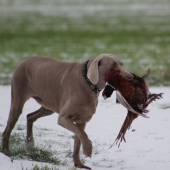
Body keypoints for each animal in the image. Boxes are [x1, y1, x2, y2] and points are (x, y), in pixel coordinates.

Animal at [1, 53, 133, 169]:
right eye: (113, 65)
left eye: (121, 64)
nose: (130, 77)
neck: (88, 82)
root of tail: (25, 60)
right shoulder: (63, 118)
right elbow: (82, 134)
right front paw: (88, 150)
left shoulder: (81, 121)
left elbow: (78, 140)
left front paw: (79, 164)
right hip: (18, 98)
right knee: (7, 130)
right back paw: (7, 152)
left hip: (49, 105)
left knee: (29, 116)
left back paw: (29, 143)